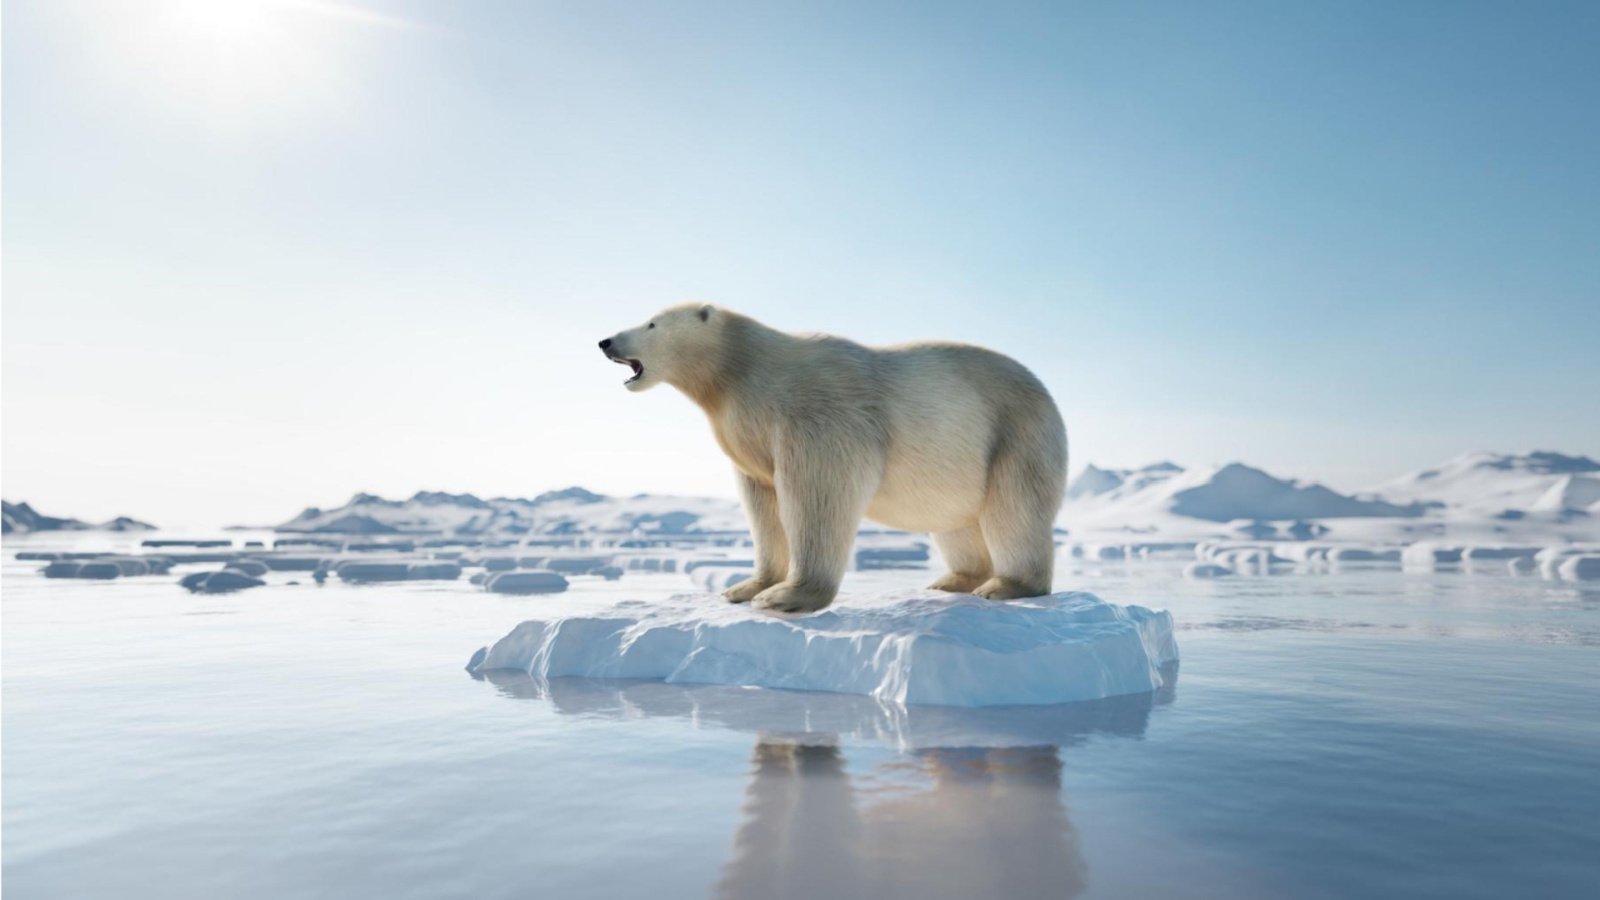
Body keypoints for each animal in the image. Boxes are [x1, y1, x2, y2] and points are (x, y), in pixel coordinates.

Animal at [601, 304, 1062, 611]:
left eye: (651, 322)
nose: (605, 341)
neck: (741, 371)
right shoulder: (749, 435)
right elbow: (762, 504)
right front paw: (744, 587)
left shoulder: (817, 414)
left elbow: (818, 493)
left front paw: (786, 595)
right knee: (955, 521)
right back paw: (952, 581)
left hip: (1016, 434)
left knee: (1014, 510)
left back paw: (1006, 586)